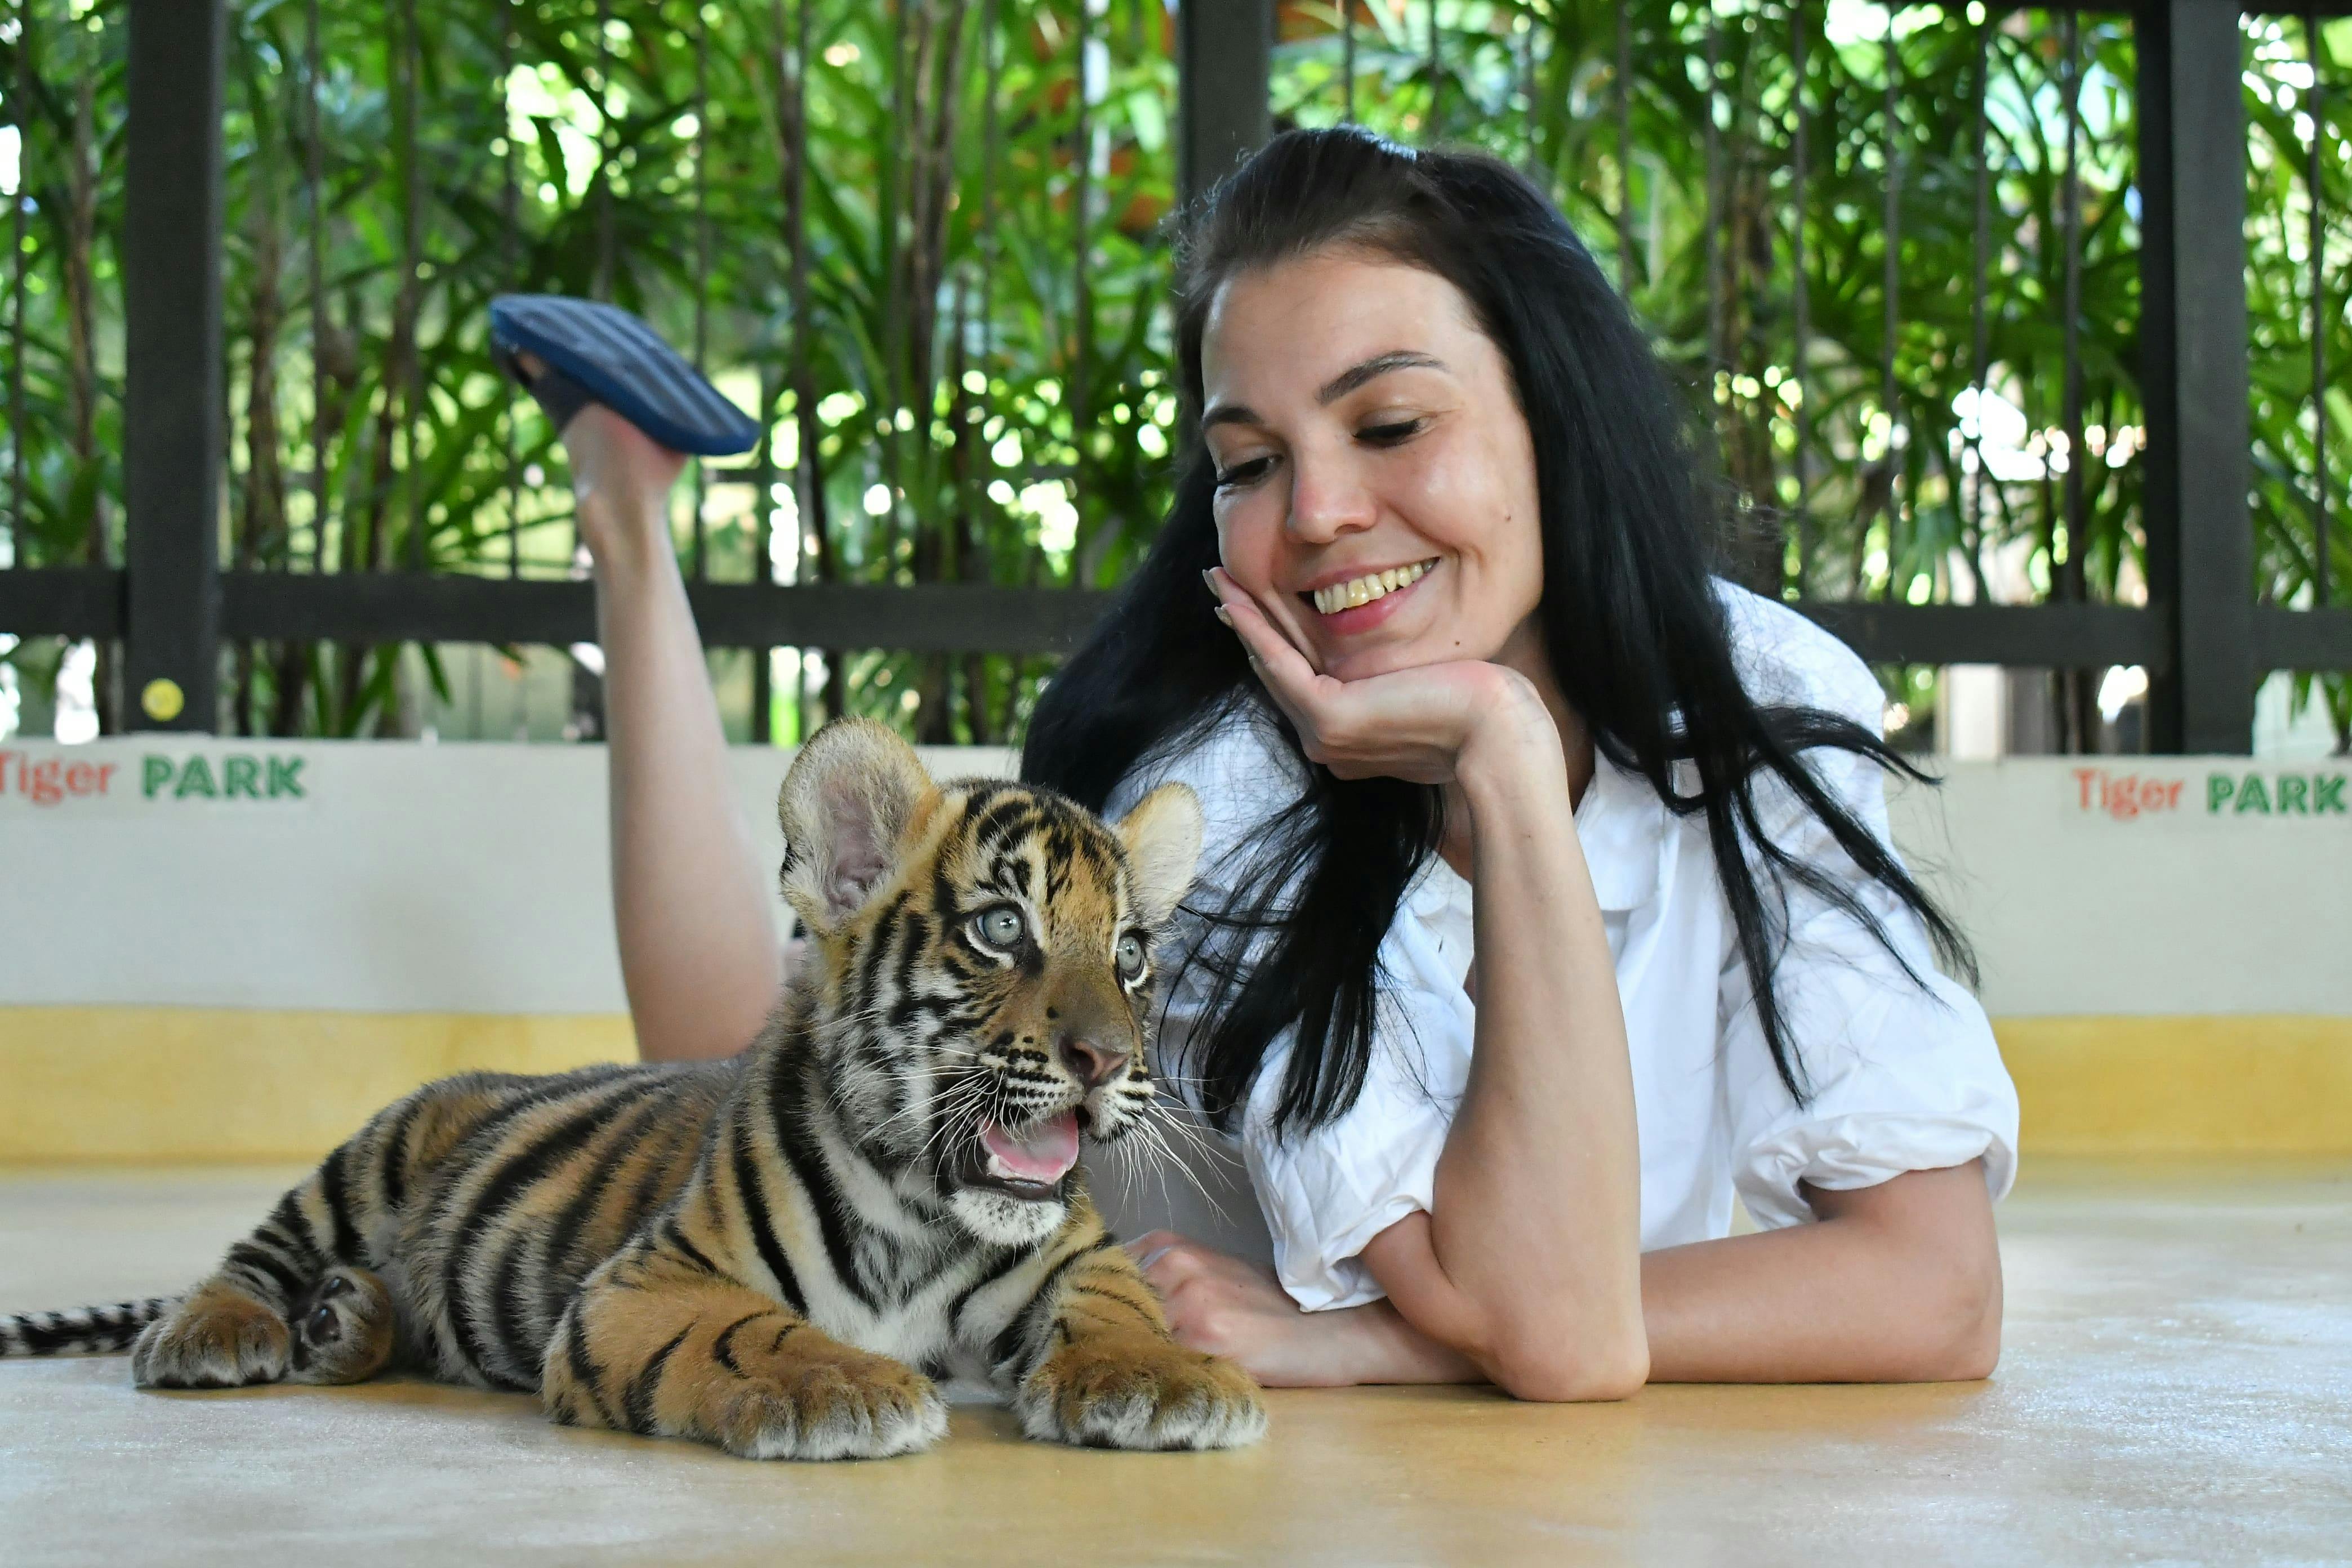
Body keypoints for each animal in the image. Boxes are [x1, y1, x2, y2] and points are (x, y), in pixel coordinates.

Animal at [0, 718, 1266, 1459]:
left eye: (1134, 954)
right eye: (1002, 928)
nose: (1107, 1060)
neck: (924, 1215)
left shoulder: (1074, 1256)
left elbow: (1120, 1304)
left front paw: (1169, 1381)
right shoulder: (650, 1281)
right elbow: (756, 1332)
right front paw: (847, 1388)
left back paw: (346, 1319)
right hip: (375, 1149)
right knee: (252, 1252)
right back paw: (218, 1331)